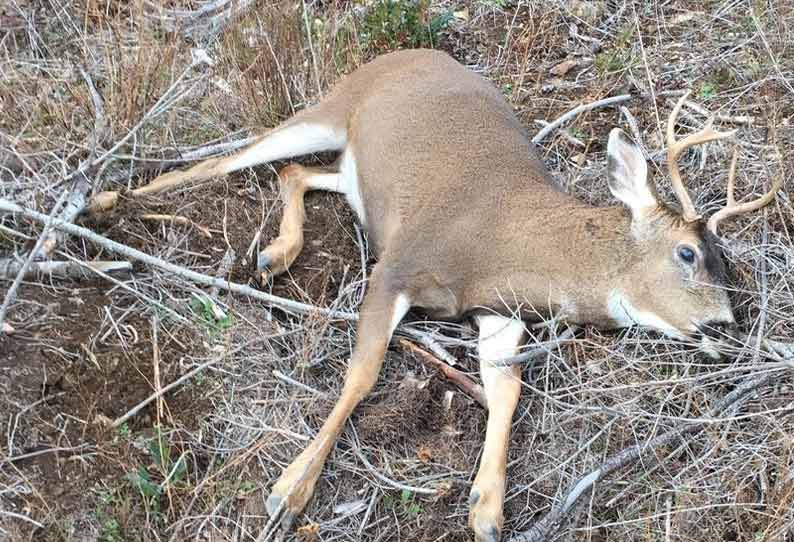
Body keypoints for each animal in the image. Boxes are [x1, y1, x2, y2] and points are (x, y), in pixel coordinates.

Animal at [86, 49, 780, 540]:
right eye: (688, 253)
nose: (729, 323)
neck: (504, 246)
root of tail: (415, 50)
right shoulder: (399, 266)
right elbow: (363, 374)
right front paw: (290, 491)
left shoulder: (500, 315)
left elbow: (506, 391)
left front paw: (487, 507)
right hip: (332, 104)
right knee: (230, 160)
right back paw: (103, 201)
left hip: (355, 167)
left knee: (299, 173)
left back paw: (276, 253)